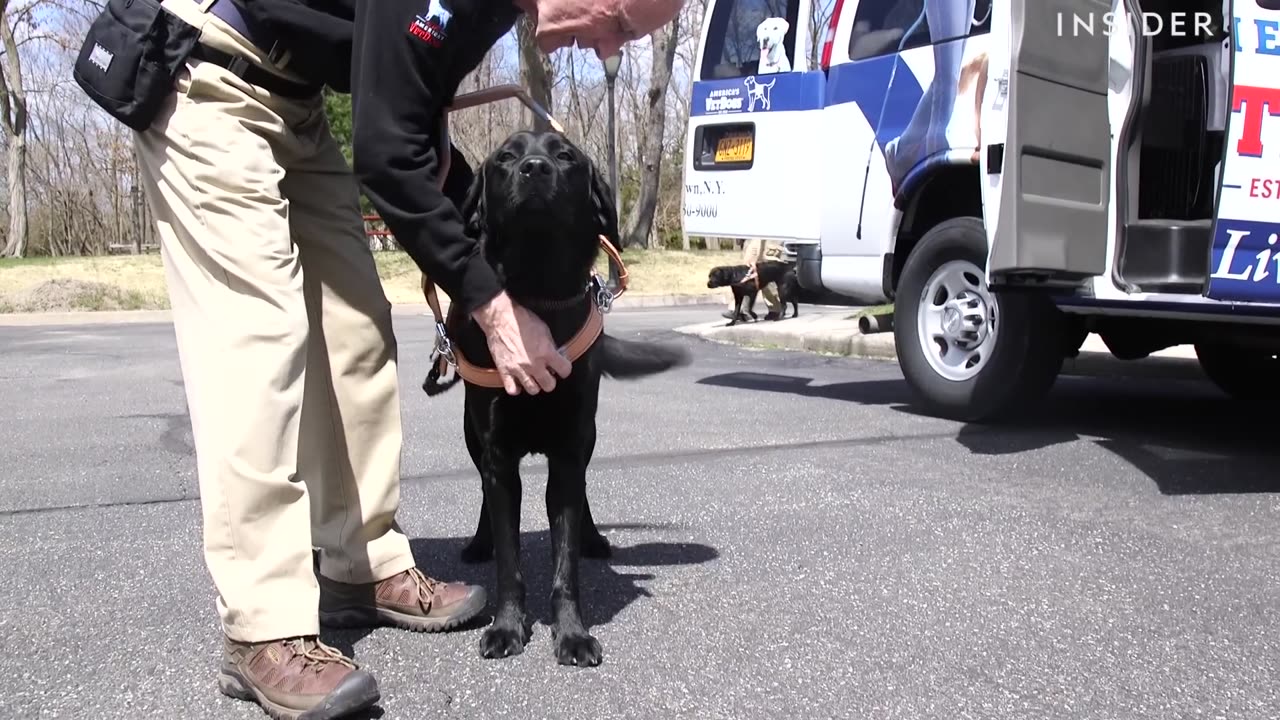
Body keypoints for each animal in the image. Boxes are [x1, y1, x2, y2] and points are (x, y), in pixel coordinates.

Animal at [430, 130, 691, 666]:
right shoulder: (499, 457)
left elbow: (565, 558)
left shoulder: (569, 450)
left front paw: (572, 633)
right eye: (505, 157)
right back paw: (480, 542)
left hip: (585, 436)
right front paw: (507, 627)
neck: (537, 296)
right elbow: (509, 561)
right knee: (484, 492)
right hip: (473, 436)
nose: (534, 168)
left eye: (566, 156)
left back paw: (593, 537)